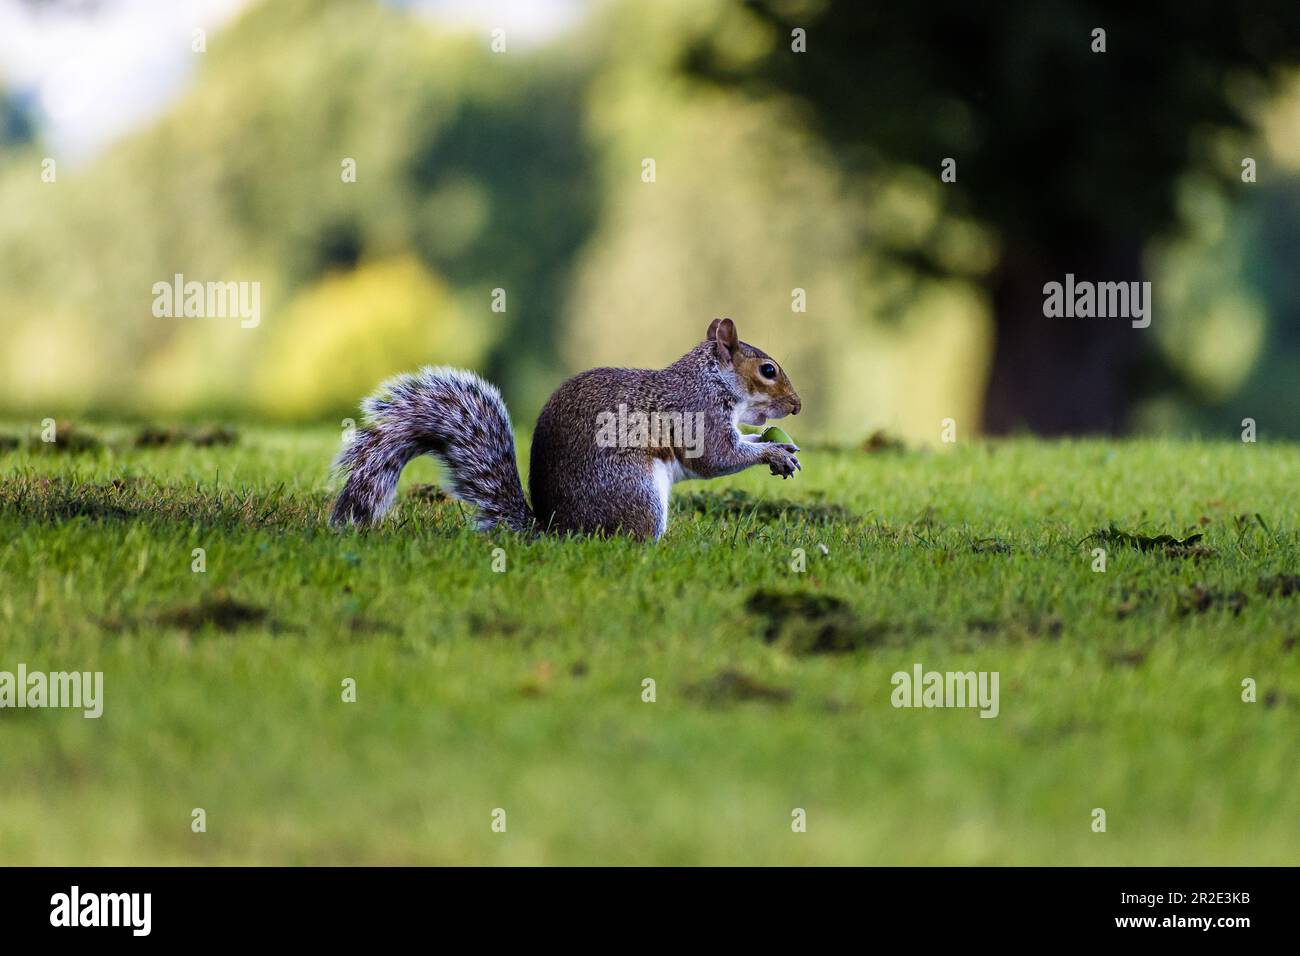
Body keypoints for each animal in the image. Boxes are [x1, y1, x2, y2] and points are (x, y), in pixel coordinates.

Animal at [329, 317, 801, 540]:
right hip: (637, 491)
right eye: (768, 370)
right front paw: (772, 452)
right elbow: (718, 459)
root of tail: (557, 529)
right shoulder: (699, 415)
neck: (711, 379)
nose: (797, 406)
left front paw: (777, 449)